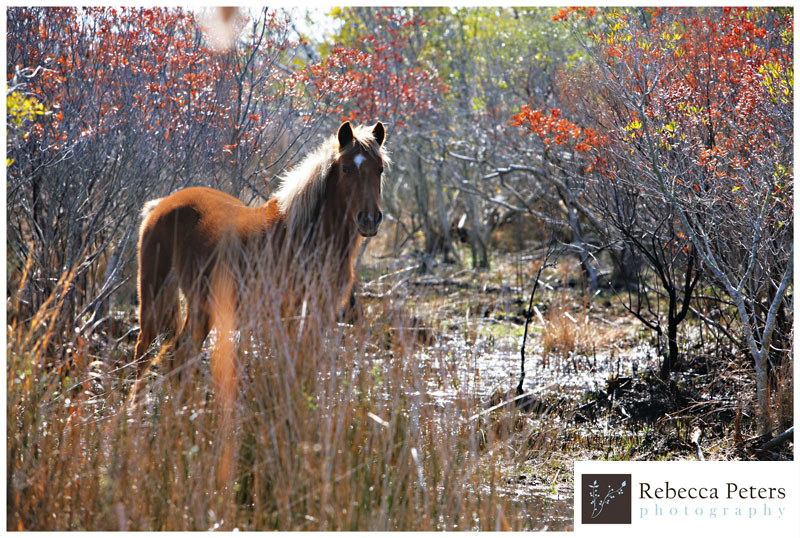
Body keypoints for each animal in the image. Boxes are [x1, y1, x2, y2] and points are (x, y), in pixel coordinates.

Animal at [134, 119, 388, 374]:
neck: (306, 236)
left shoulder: (319, 314)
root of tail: (161, 205)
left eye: (380, 169)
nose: (369, 219)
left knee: (178, 355)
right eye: (345, 169)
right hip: (155, 298)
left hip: (200, 308)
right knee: (145, 351)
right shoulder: (291, 314)